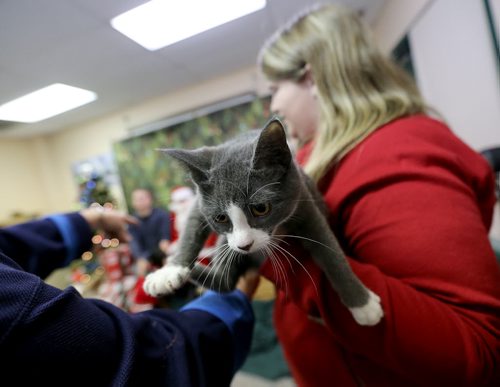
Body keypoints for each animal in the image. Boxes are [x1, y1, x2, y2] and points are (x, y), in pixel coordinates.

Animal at [144, 118, 382, 328]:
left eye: (261, 208)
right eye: (220, 218)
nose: (244, 245)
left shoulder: (303, 200)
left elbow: (329, 250)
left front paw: (363, 305)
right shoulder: (200, 203)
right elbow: (191, 228)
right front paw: (171, 271)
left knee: (227, 282)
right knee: (226, 282)